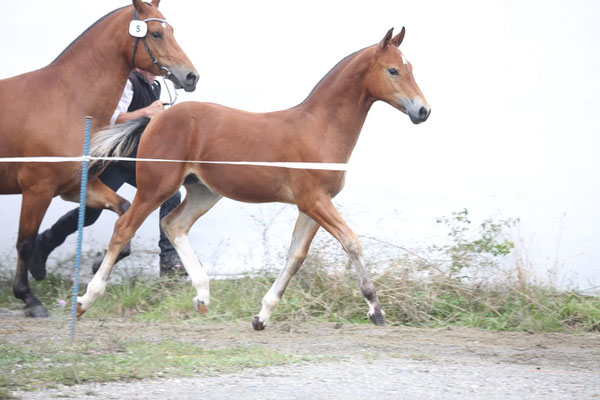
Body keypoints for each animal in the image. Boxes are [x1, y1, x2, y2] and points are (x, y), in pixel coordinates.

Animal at [0, 0, 198, 318]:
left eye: (172, 30)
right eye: (156, 33)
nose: (192, 76)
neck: (66, 101)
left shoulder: (75, 187)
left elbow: (124, 212)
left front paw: (95, 262)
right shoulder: (36, 190)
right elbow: (25, 242)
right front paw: (28, 298)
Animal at [81, 27, 432, 328]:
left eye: (411, 67)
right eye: (393, 71)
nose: (423, 111)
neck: (320, 127)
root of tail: (156, 118)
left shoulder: (312, 206)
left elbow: (295, 256)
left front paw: (261, 316)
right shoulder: (314, 200)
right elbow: (351, 242)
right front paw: (376, 310)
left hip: (204, 192)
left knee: (174, 225)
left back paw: (203, 296)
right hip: (156, 187)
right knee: (124, 229)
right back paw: (85, 300)